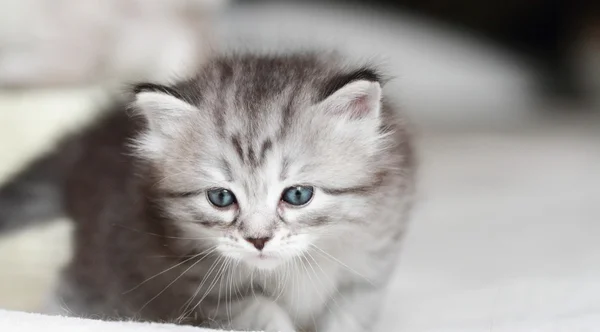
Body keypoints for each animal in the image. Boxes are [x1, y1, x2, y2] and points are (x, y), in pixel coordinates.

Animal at [0, 52, 414, 332]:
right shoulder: (204, 287)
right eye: (221, 198)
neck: (294, 270)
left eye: (297, 195)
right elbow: (263, 314)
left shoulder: (365, 274)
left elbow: (347, 316)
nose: (258, 240)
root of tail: (91, 142)